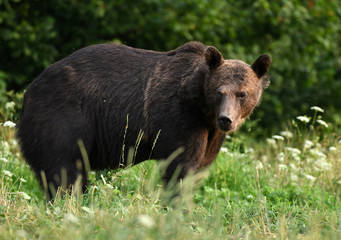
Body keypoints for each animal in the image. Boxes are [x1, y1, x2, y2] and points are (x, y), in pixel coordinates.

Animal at [16, 41, 270, 199]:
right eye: (219, 92)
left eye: (242, 93)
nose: (226, 119)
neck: (202, 107)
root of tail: (29, 91)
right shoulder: (178, 118)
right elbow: (180, 167)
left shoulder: (210, 134)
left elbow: (199, 168)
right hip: (63, 118)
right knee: (64, 170)